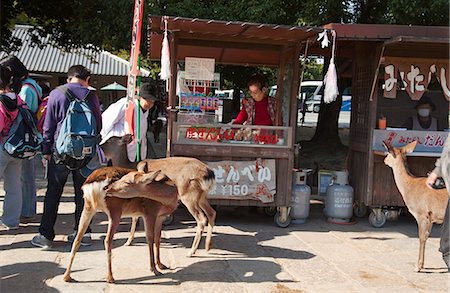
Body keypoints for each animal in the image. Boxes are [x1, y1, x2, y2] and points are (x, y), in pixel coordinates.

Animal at [382, 140, 448, 270]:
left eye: (388, 152)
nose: (384, 160)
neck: (409, 187)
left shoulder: (421, 213)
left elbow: (421, 237)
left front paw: (418, 266)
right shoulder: (431, 217)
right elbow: (426, 236)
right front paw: (421, 264)